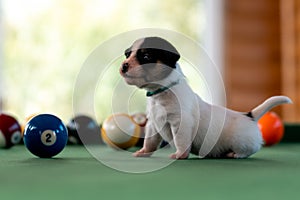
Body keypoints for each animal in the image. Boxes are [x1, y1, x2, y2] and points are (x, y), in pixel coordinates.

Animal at [119, 36, 290, 159]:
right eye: (127, 54)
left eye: (146, 56)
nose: (124, 65)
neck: (162, 91)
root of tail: (249, 116)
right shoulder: (153, 125)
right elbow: (149, 141)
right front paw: (143, 152)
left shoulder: (180, 123)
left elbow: (181, 141)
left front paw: (180, 155)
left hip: (242, 142)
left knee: (249, 150)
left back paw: (234, 154)